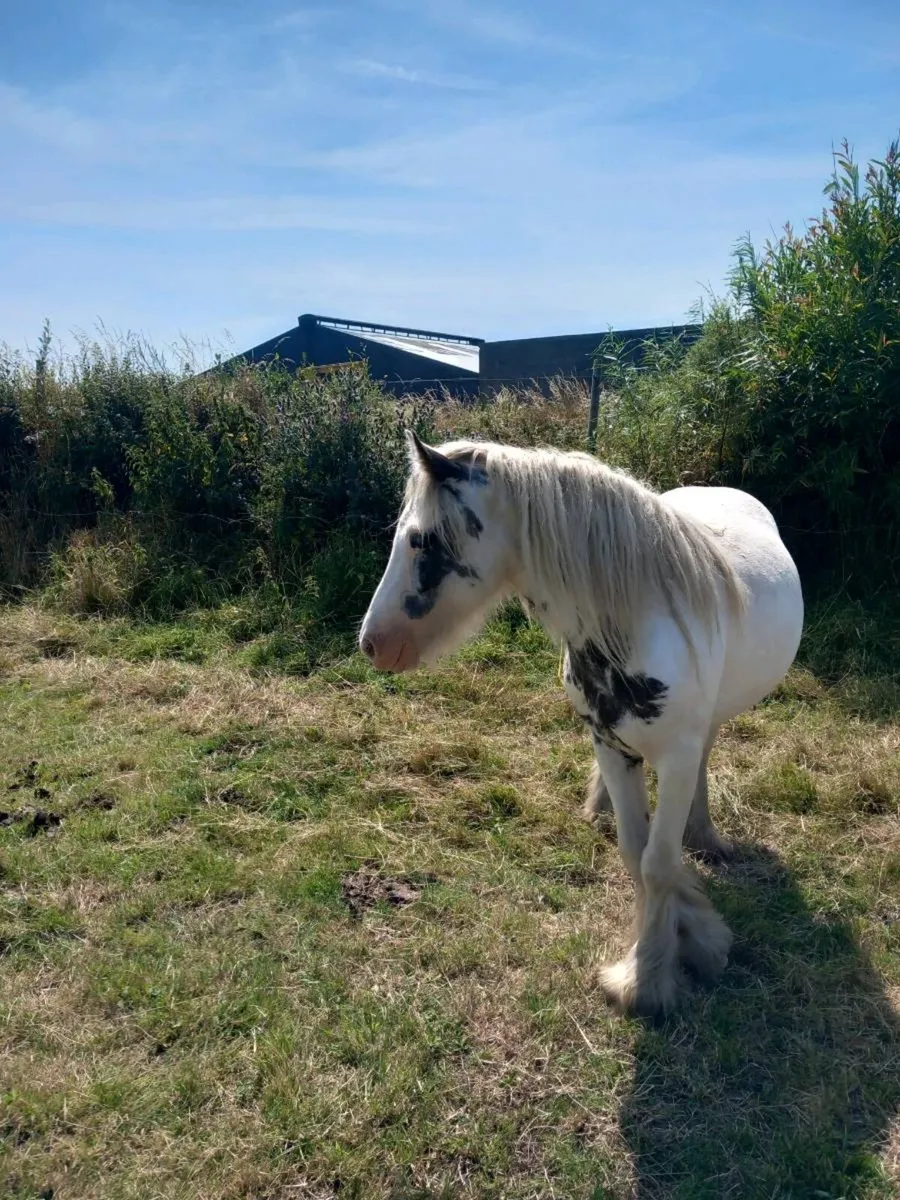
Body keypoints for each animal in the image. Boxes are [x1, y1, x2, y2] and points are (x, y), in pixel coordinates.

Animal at [359, 432, 804, 1018]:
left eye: (419, 540)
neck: (632, 624)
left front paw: (649, 981)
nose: (372, 643)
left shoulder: (676, 757)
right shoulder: (610, 746)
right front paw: (686, 937)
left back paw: (705, 836)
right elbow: (636, 853)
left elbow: (658, 862)